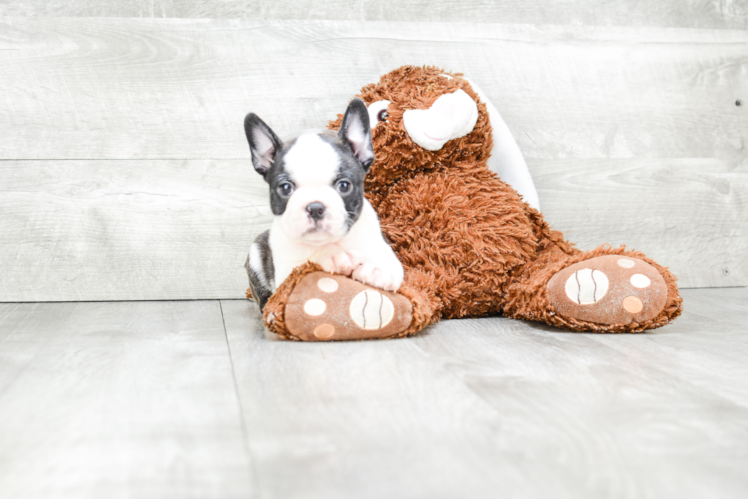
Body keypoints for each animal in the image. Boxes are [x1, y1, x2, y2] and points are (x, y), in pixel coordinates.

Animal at [244, 98, 404, 310]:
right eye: (285, 188)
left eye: (344, 185)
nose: (315, 207)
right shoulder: (287, 274)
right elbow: (308, 262)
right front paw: (333, 256)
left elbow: (389, 264)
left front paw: (378, 269)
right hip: (255, 253)